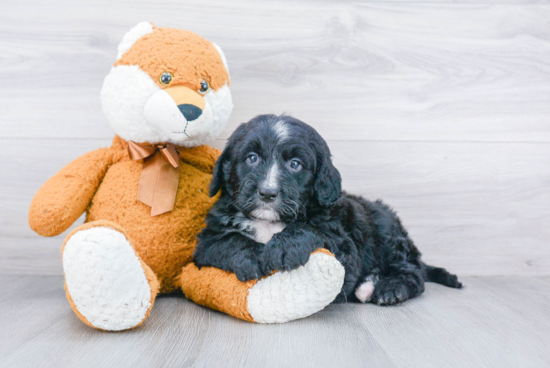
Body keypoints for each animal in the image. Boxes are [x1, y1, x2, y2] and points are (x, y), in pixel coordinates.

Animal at [194, 114, 462, 304]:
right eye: (252, 158)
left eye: (295, 164)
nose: (268, 193)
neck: (270, 222)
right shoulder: (207, 241)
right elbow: (229, 241)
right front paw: (251, 257)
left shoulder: (343, 245)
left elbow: (311, 229)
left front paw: (285, 247)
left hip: (387, 232)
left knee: (414, 271)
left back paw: (388, 288)